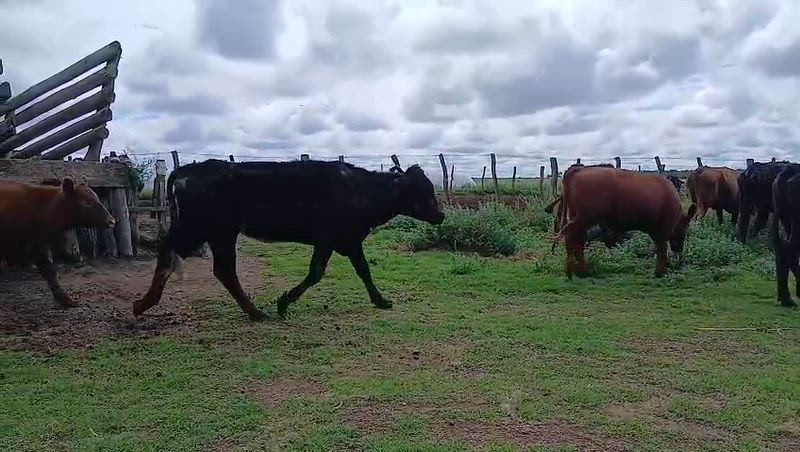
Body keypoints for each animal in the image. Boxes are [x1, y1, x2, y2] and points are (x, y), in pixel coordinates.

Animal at [0, 178, 116, 307]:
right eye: (86, 203)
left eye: (97, 198)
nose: (112, 221)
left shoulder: (39, 247)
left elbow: (50, 273)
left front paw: (66, 300)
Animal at [133, 159, 445, 321]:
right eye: (422, 190)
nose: (441, 215)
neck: (362, 189)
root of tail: (190, 168)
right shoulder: (336, 238)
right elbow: (320, 273)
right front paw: (284, 302)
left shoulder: (343, 240)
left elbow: (360, 270)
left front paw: (380, 301)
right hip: (208, 229)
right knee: (194, 259)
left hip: (212, 231)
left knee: (211, 266)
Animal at [555, 166, 696, 278]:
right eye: (685, 229)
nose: (679, 248)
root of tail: (578, 169)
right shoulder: (662, 230)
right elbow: (662, 250)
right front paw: (659, 272)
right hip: (582, 220)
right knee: (574, 240)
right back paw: (578, 271)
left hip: (579, 220)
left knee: (576, 241)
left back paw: (577, 271)